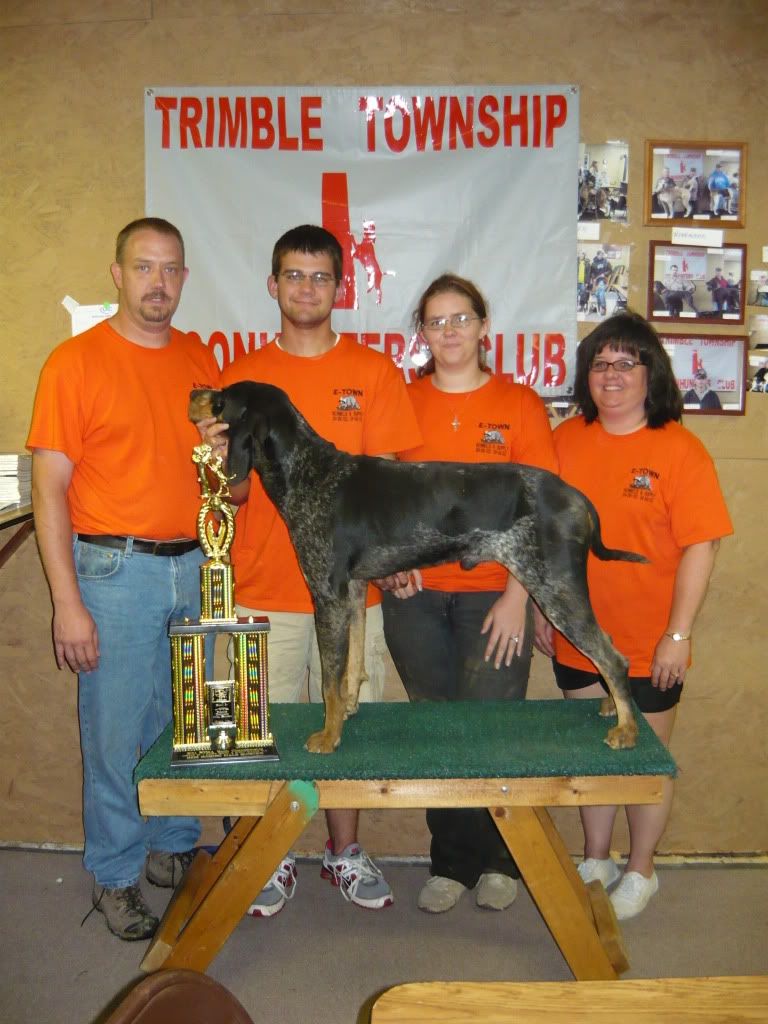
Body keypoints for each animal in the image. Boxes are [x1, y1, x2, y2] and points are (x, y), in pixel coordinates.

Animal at [189, 382, 645, 755]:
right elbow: (351, 667)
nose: (193, 391)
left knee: (613, 658)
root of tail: (575, 496)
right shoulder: (352, 592)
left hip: (555, 589)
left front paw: (329, 735)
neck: (309, 471)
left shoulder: (326, 594)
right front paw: (349, 710)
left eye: (221, 399)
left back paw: (627, 729)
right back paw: (612, 705)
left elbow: (330, 679)